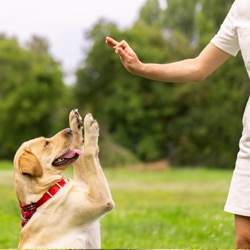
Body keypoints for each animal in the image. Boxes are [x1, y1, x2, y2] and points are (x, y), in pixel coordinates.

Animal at [13, 109, 114, 248]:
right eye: (46, 143)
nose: (68, 130)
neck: (44, 194)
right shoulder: (99, 200)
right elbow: (88, 153)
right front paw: (90, 126)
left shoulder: (84, 186)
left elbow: (80, 157)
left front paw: (75, 123)